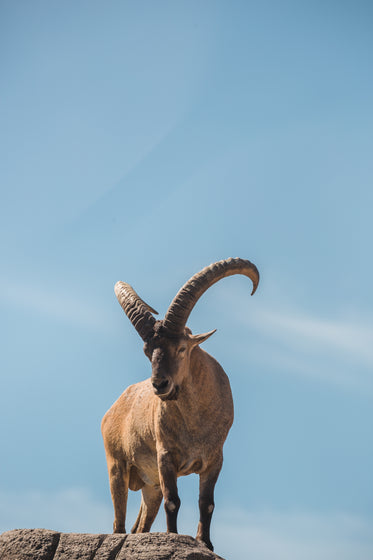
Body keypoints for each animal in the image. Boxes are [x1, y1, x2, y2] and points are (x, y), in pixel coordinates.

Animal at [101, 258, 258, 552]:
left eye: (182, 348)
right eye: (147, 351)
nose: (159, 385)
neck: (195, 423)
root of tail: (112, 410)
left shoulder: (214, 458)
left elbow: (206, 503)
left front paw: (205, 542)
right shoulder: (166, 456)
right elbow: (173, 501)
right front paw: (173, 536)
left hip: (149, 486)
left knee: (140, 526)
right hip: (117, 465)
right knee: (119, 523)